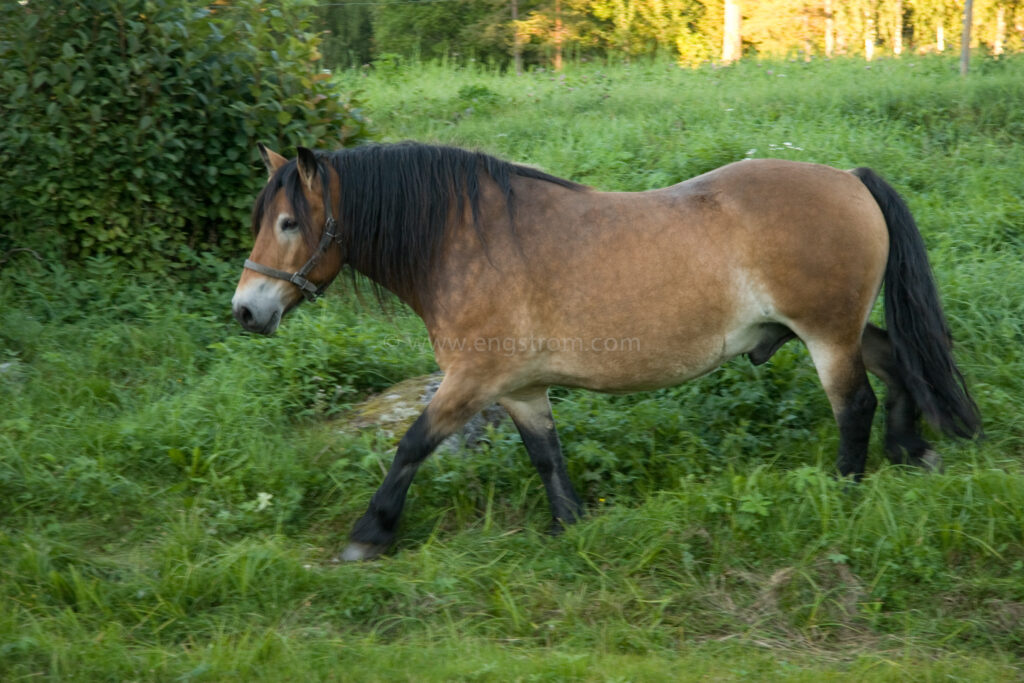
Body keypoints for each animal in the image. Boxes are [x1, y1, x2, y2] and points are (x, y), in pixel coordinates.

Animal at [228, 140, 978, 561]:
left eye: (289, 222)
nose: (246, 310)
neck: (463, 238)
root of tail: (849, 179)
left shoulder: (471, 379)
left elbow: (410, 445)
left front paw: (370, 532)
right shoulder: (520, 388)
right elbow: (546, 455)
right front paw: (571, 526)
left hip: (825, 335)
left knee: (854, 405)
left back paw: (846, 487)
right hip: (834, 329)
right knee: (898, 359)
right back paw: (912, 448)